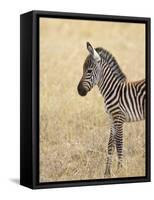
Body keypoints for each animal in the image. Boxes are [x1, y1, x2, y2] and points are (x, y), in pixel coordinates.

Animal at [77, 41, 145, 177]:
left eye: (89, 70)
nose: (79, 91)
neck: (112, 89)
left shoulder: (118, 118)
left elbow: (119, 144)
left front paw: (120, 170)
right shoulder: (112, 119)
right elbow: (110, 145)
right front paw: (107, 172)